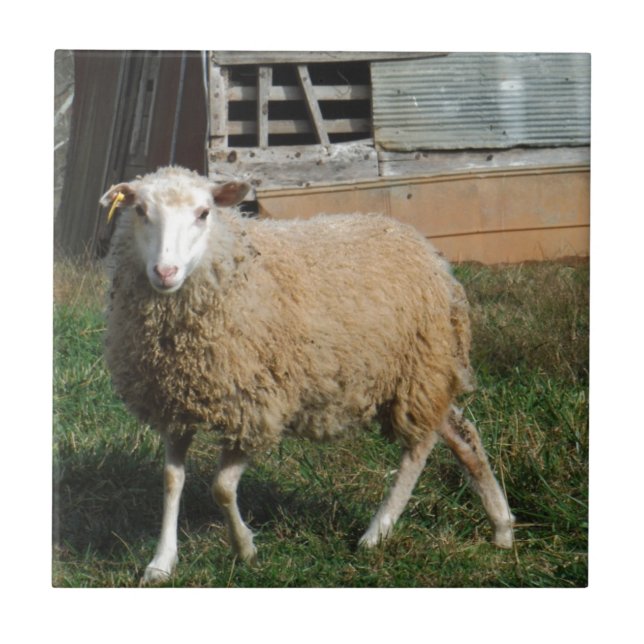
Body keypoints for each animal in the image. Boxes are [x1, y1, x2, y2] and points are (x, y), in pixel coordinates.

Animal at [100, 165, 514, 584]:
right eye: (140, 211)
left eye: (203, 213)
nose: (165, 272)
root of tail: (429, 252)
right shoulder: (175, 403)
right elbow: (172, 481)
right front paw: (161, 562)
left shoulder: (256, 407)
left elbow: (221, 488)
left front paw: (244, 547)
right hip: (420, 375)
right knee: (461, 432)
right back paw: (502, 526)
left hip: (418, 369)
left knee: (418, 449)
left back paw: (376, 532)